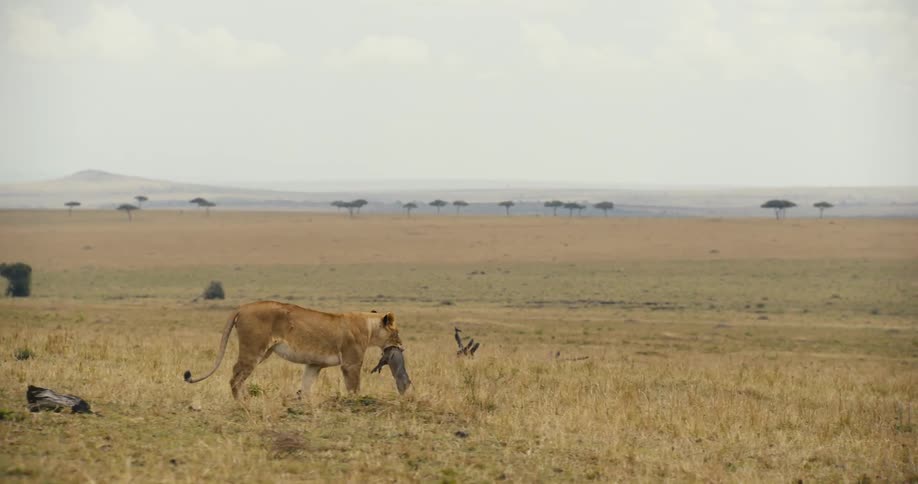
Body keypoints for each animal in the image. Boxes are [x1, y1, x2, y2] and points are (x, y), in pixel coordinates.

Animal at [183, 301, 406, 399]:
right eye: (396, 332)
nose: (403, 347)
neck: (369, 326)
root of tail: (243, 306)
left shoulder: (314, 364)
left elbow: (306, 385)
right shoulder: (351, 363)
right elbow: (354, 387)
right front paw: (356, 402)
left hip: (264, 351)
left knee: (239, 375)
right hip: (254, 349)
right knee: (235, 375)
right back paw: (242, 402)